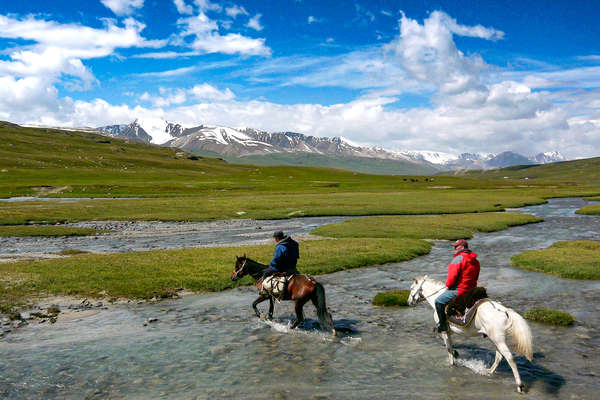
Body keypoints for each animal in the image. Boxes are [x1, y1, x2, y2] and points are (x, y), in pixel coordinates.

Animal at [408, 276, 536, 394]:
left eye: (411, 288)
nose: (409, 302)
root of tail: (504, 310)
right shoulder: (448, 332)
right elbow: (450, 346)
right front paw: (456, 354)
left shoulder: (444, 331)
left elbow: (448, 348)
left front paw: (452, 362)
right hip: (496, 339)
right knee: (499, 357)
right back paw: (488, 372)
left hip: (497, 339)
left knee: (510, 358)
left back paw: (519, 386)